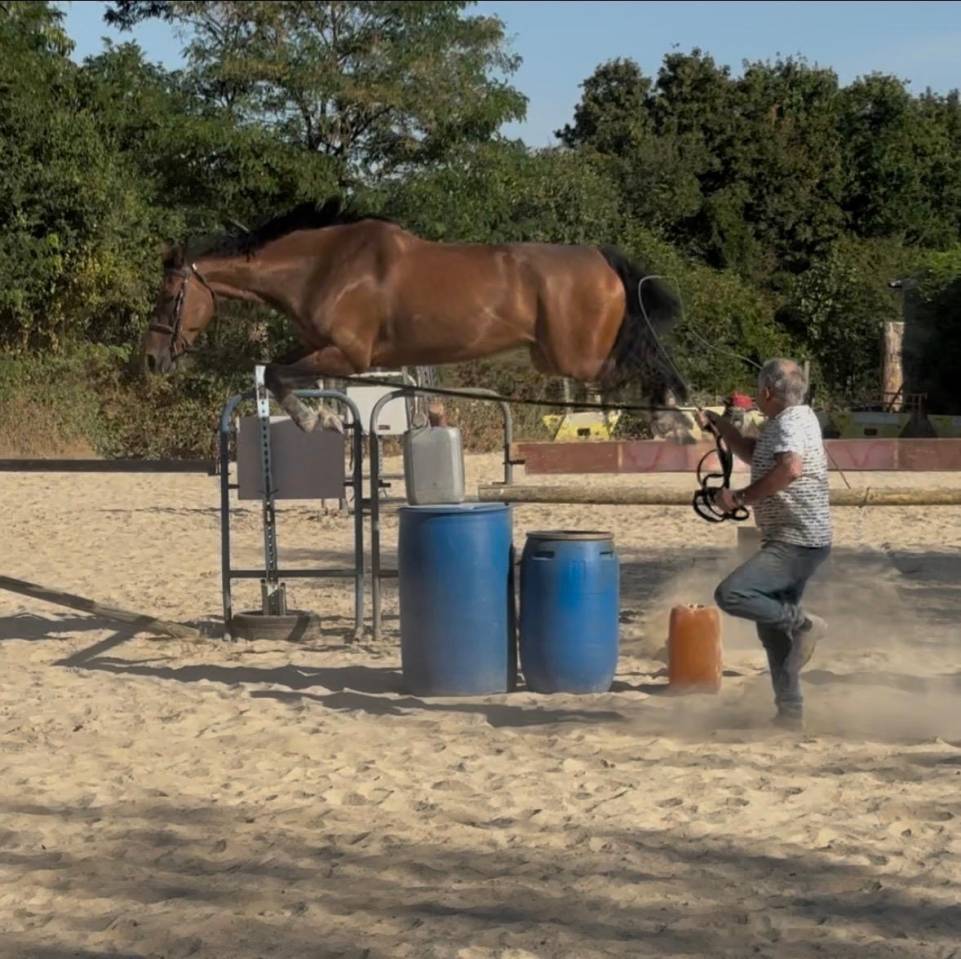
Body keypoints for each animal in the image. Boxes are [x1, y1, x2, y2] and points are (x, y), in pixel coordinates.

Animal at [142, 197, 694, 442]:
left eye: (168, 295)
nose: (151, 360)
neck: (320, 266)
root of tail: (602, 258)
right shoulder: (322, 347)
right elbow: (276, 371)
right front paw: (324, 417)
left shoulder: (349, 354)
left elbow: (279, 374)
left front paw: (314, 419)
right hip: (561, 356)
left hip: (577, 357)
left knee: (646, 361)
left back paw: (677, 422)